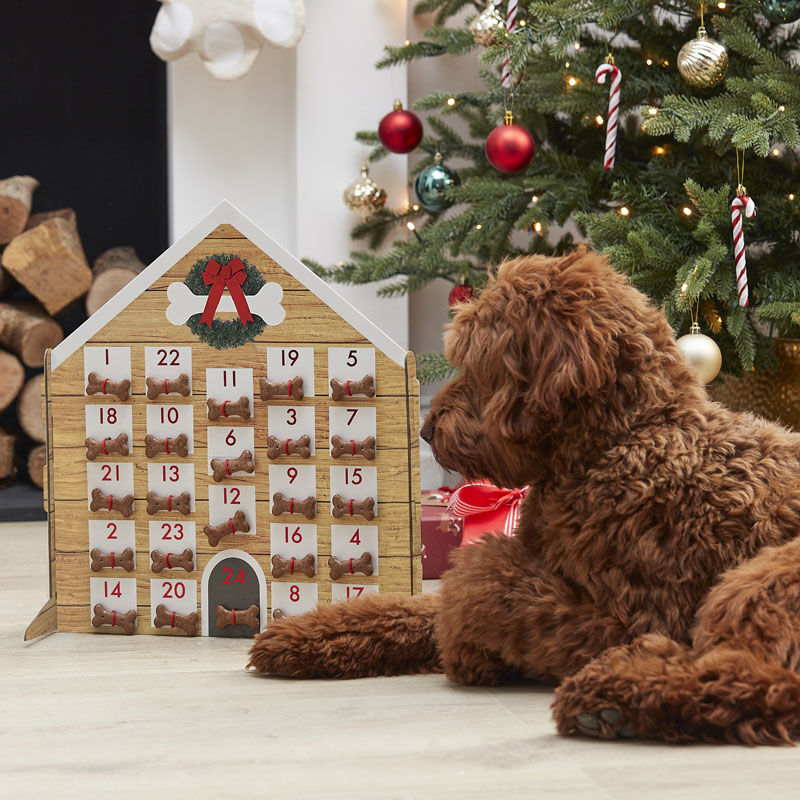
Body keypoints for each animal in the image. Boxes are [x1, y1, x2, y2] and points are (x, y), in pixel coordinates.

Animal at [250, 253, 800, 748]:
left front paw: (470, 653)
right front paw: (304, 634)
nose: (427, 430)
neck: (621, 440)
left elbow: (473, 586)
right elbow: (413, 607)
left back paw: (615, 698)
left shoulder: (630, 618)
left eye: (477, 362)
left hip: (762, 578)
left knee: (758, 679)